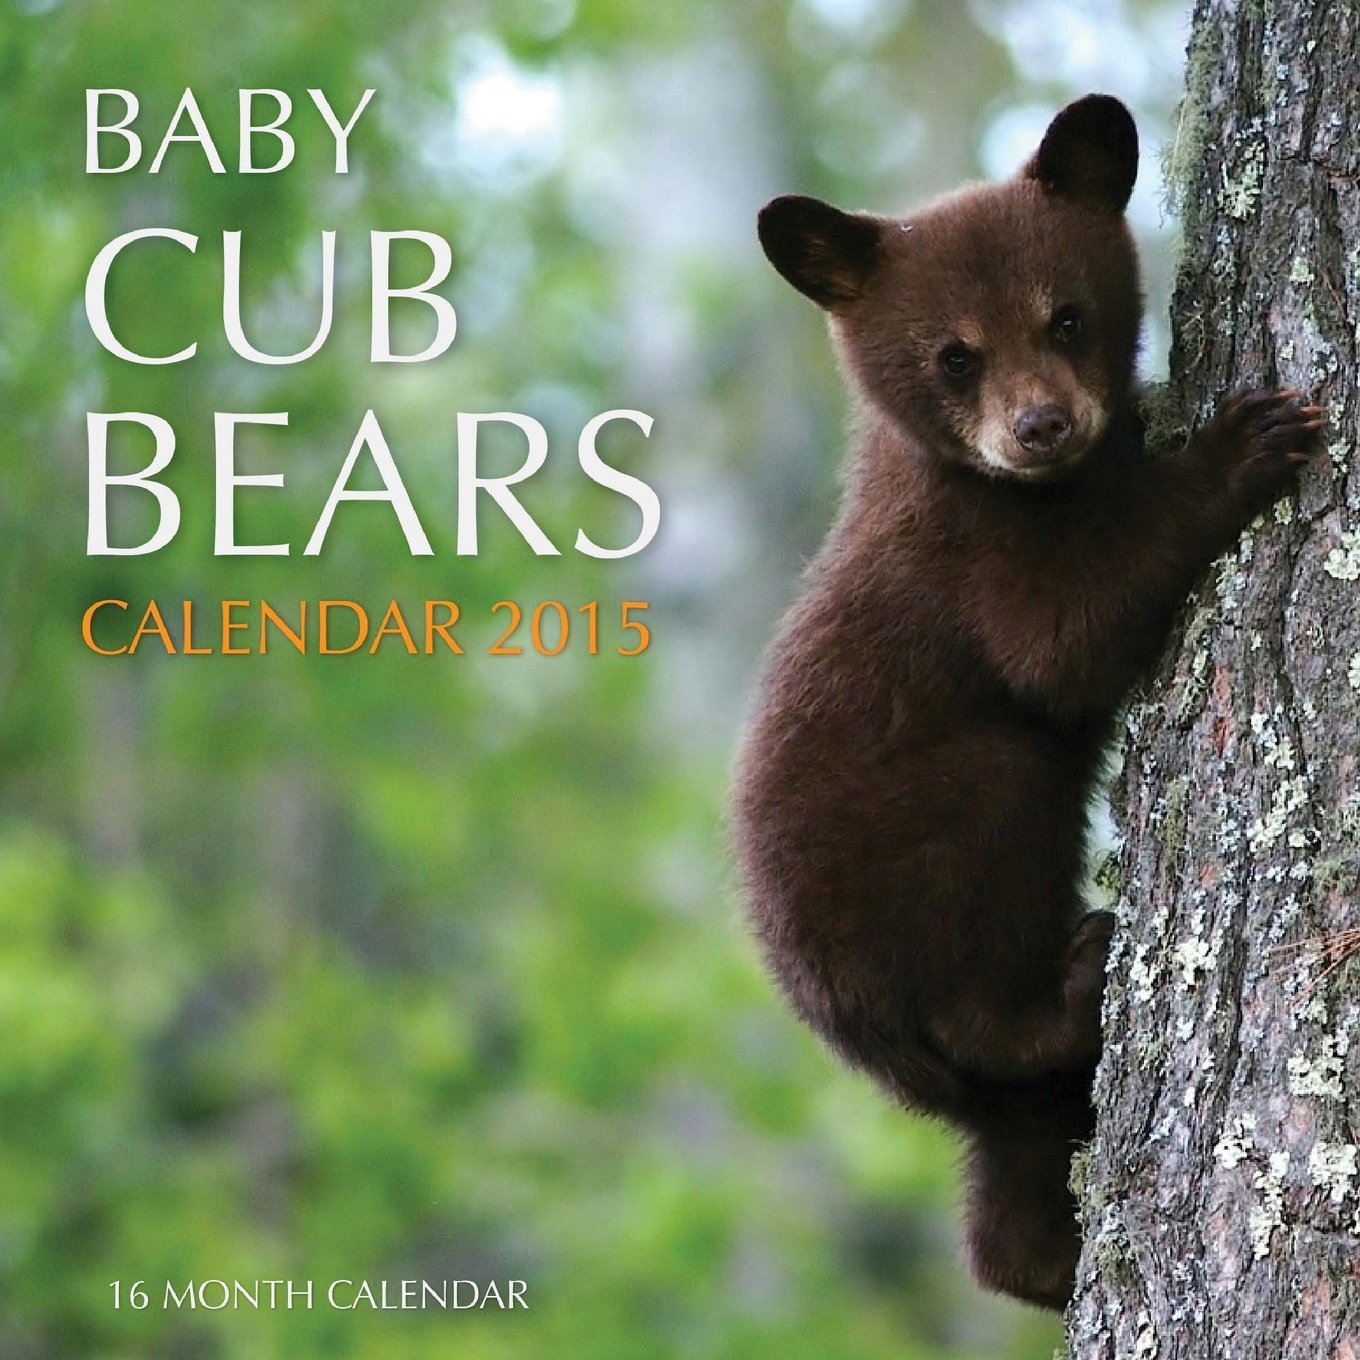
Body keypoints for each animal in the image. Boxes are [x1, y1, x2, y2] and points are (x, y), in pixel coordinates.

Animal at [731, 94, 1323, 1310]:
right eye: (954, 355)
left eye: (1066, 318)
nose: (1040, 426)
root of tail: (855, 1035)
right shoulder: (969, 559)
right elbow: (1063, 643)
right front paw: (1242, 441)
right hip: (930, 850)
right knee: (986, 938)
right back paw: (1076, 972)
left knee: (1011, 1170)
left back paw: (1040, 1257)